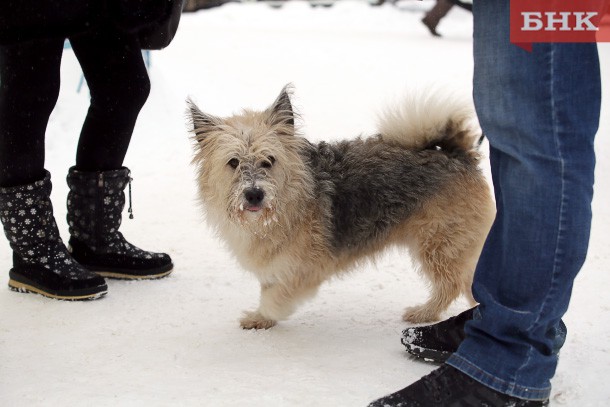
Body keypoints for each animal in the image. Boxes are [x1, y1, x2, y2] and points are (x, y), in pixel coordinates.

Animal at [186, 84, 494, 330]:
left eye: (269, 160)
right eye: (233, 162)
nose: (253, 195)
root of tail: (456, 152)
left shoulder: (307, 269)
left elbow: (276, 296)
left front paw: (268, 313)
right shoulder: (277, 263)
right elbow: (269, 287)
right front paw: (262, 319)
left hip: (440, 243)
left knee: (451, 284)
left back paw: (424, 313)